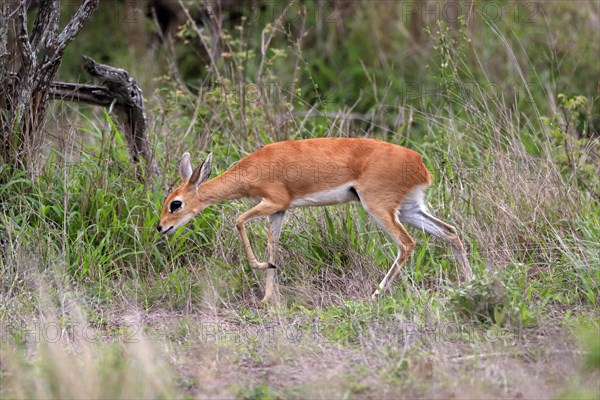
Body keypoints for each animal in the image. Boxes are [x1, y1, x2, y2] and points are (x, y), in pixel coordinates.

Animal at [158, 138, 474, 304]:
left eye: (176, 203)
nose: (161, 227)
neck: (251, 170)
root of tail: (420, 164)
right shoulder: (279, 211)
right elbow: (274, 246)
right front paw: (268, 298)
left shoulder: (274, 202)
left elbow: (238, 220)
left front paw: (261, 271)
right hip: (410, 209)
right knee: (450, 231)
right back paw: (470, 282)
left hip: (379, 208)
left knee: (407, 244)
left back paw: (374, 294)